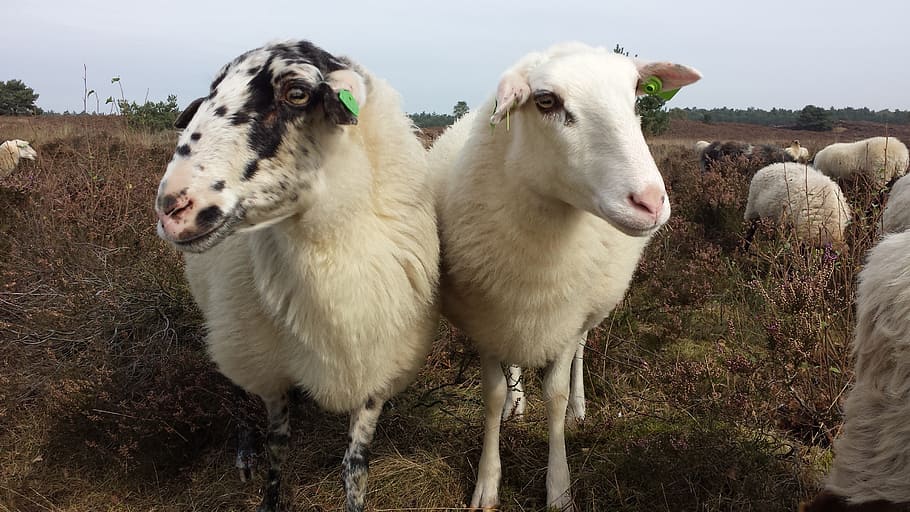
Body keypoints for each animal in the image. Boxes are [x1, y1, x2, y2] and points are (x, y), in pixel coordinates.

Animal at [153, 40, 439, 512]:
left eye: (298, 93)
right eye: (212, 92)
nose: (172, 207)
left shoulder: (378, 364)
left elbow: (355, 464)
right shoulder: (268, 370)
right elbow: (278, 446)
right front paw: (269, 495)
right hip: (231, 332)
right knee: (236, 388)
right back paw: (243, 452)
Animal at [429, 41, 701, 510]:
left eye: (636, 97)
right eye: (545, 101)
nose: (650, 202)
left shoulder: (566, 319)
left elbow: (553, 398)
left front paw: (559, 489)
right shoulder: (487, 319)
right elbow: (491, 395)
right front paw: (487, 482)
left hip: (585, 313)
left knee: (580, 354)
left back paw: (579, 408)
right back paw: (517, 404)